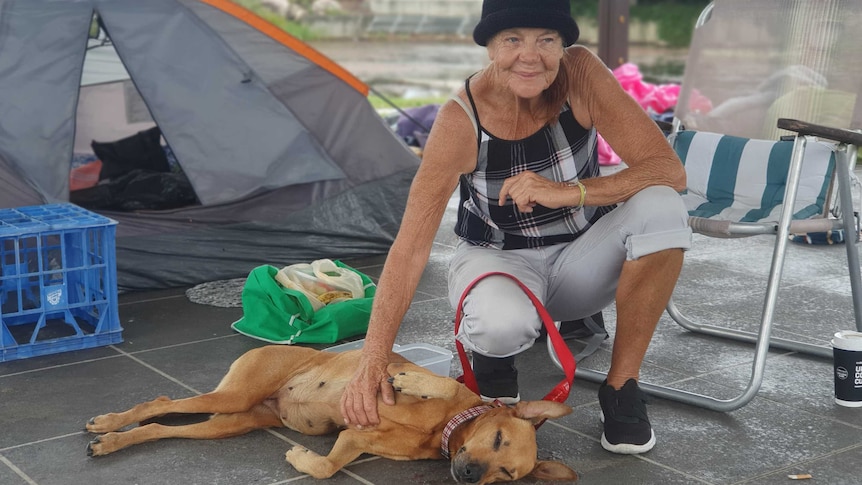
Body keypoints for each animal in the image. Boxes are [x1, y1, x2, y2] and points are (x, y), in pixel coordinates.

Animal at [84, 344, 580, 480]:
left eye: (507, 475)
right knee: (161, 404)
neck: (441, 428)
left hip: (228, 423)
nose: (471, 475)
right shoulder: (406, 379)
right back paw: (108, 423)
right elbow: (440, 382)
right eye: (496, 438)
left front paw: (301, 458)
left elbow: (327, 466)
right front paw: (415, 383)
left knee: (159, 425)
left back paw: (111, 441)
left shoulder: (353, 438)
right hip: (234, 396)